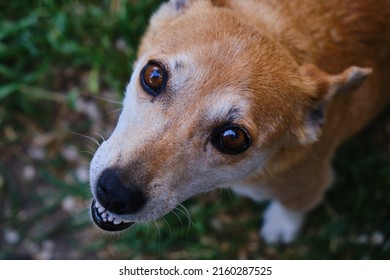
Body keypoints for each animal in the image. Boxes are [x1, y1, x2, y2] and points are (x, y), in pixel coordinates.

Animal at [89, 0, 390, 244]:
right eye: (153, 75)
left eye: (232, 138)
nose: (114, 191)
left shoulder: (308, 183)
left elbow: (293, 206)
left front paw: (281, 225)